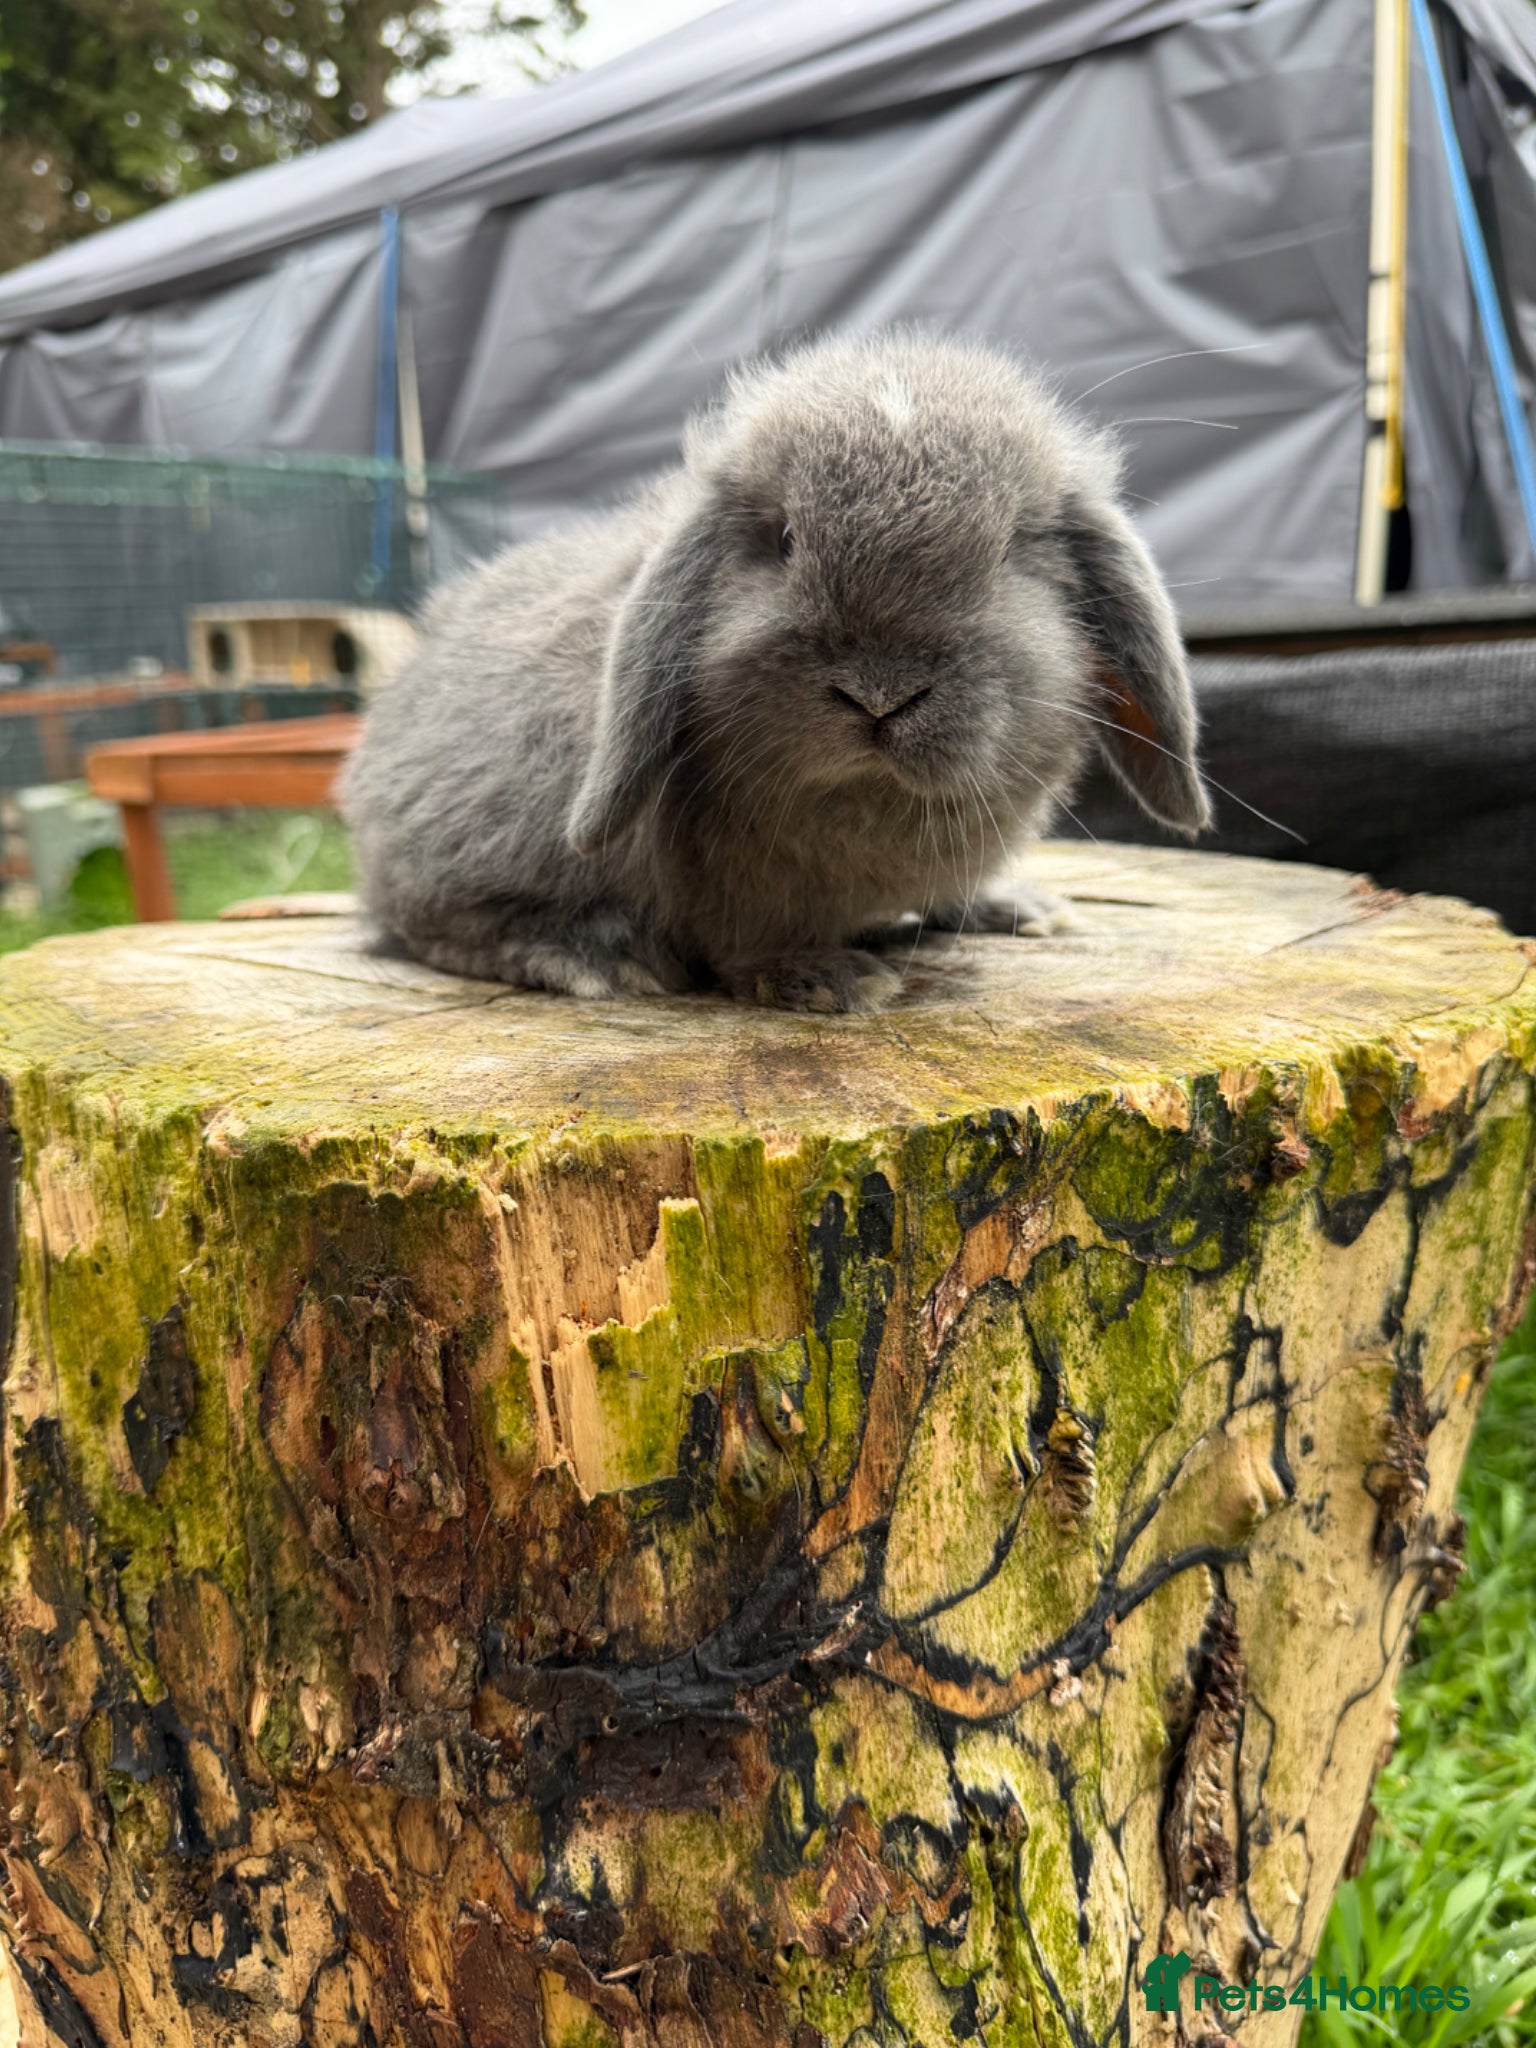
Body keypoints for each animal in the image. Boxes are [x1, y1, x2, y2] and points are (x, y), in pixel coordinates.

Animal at [341, 330, 1210, 1013]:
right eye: (784, 538)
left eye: (1011, 551)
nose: (880, 695)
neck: (867, 798)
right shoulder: (726, 890)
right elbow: (746, 943)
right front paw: (831, 982)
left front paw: (1013, 907)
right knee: (431, 927)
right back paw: (598, 958)